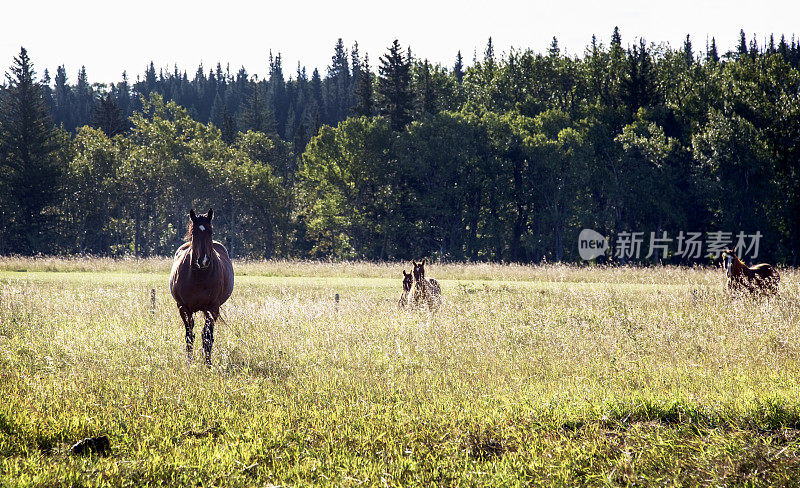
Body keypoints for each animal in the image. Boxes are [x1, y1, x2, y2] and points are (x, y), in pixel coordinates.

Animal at [168, 208, 233, 364]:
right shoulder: (183, 308)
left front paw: (208, 364)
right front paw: (189, 362)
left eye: (210, 231)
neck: (199, 276)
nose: (204, 261)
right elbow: (189, 336)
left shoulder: (212, 308)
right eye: (194, 232)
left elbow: (207, 338)